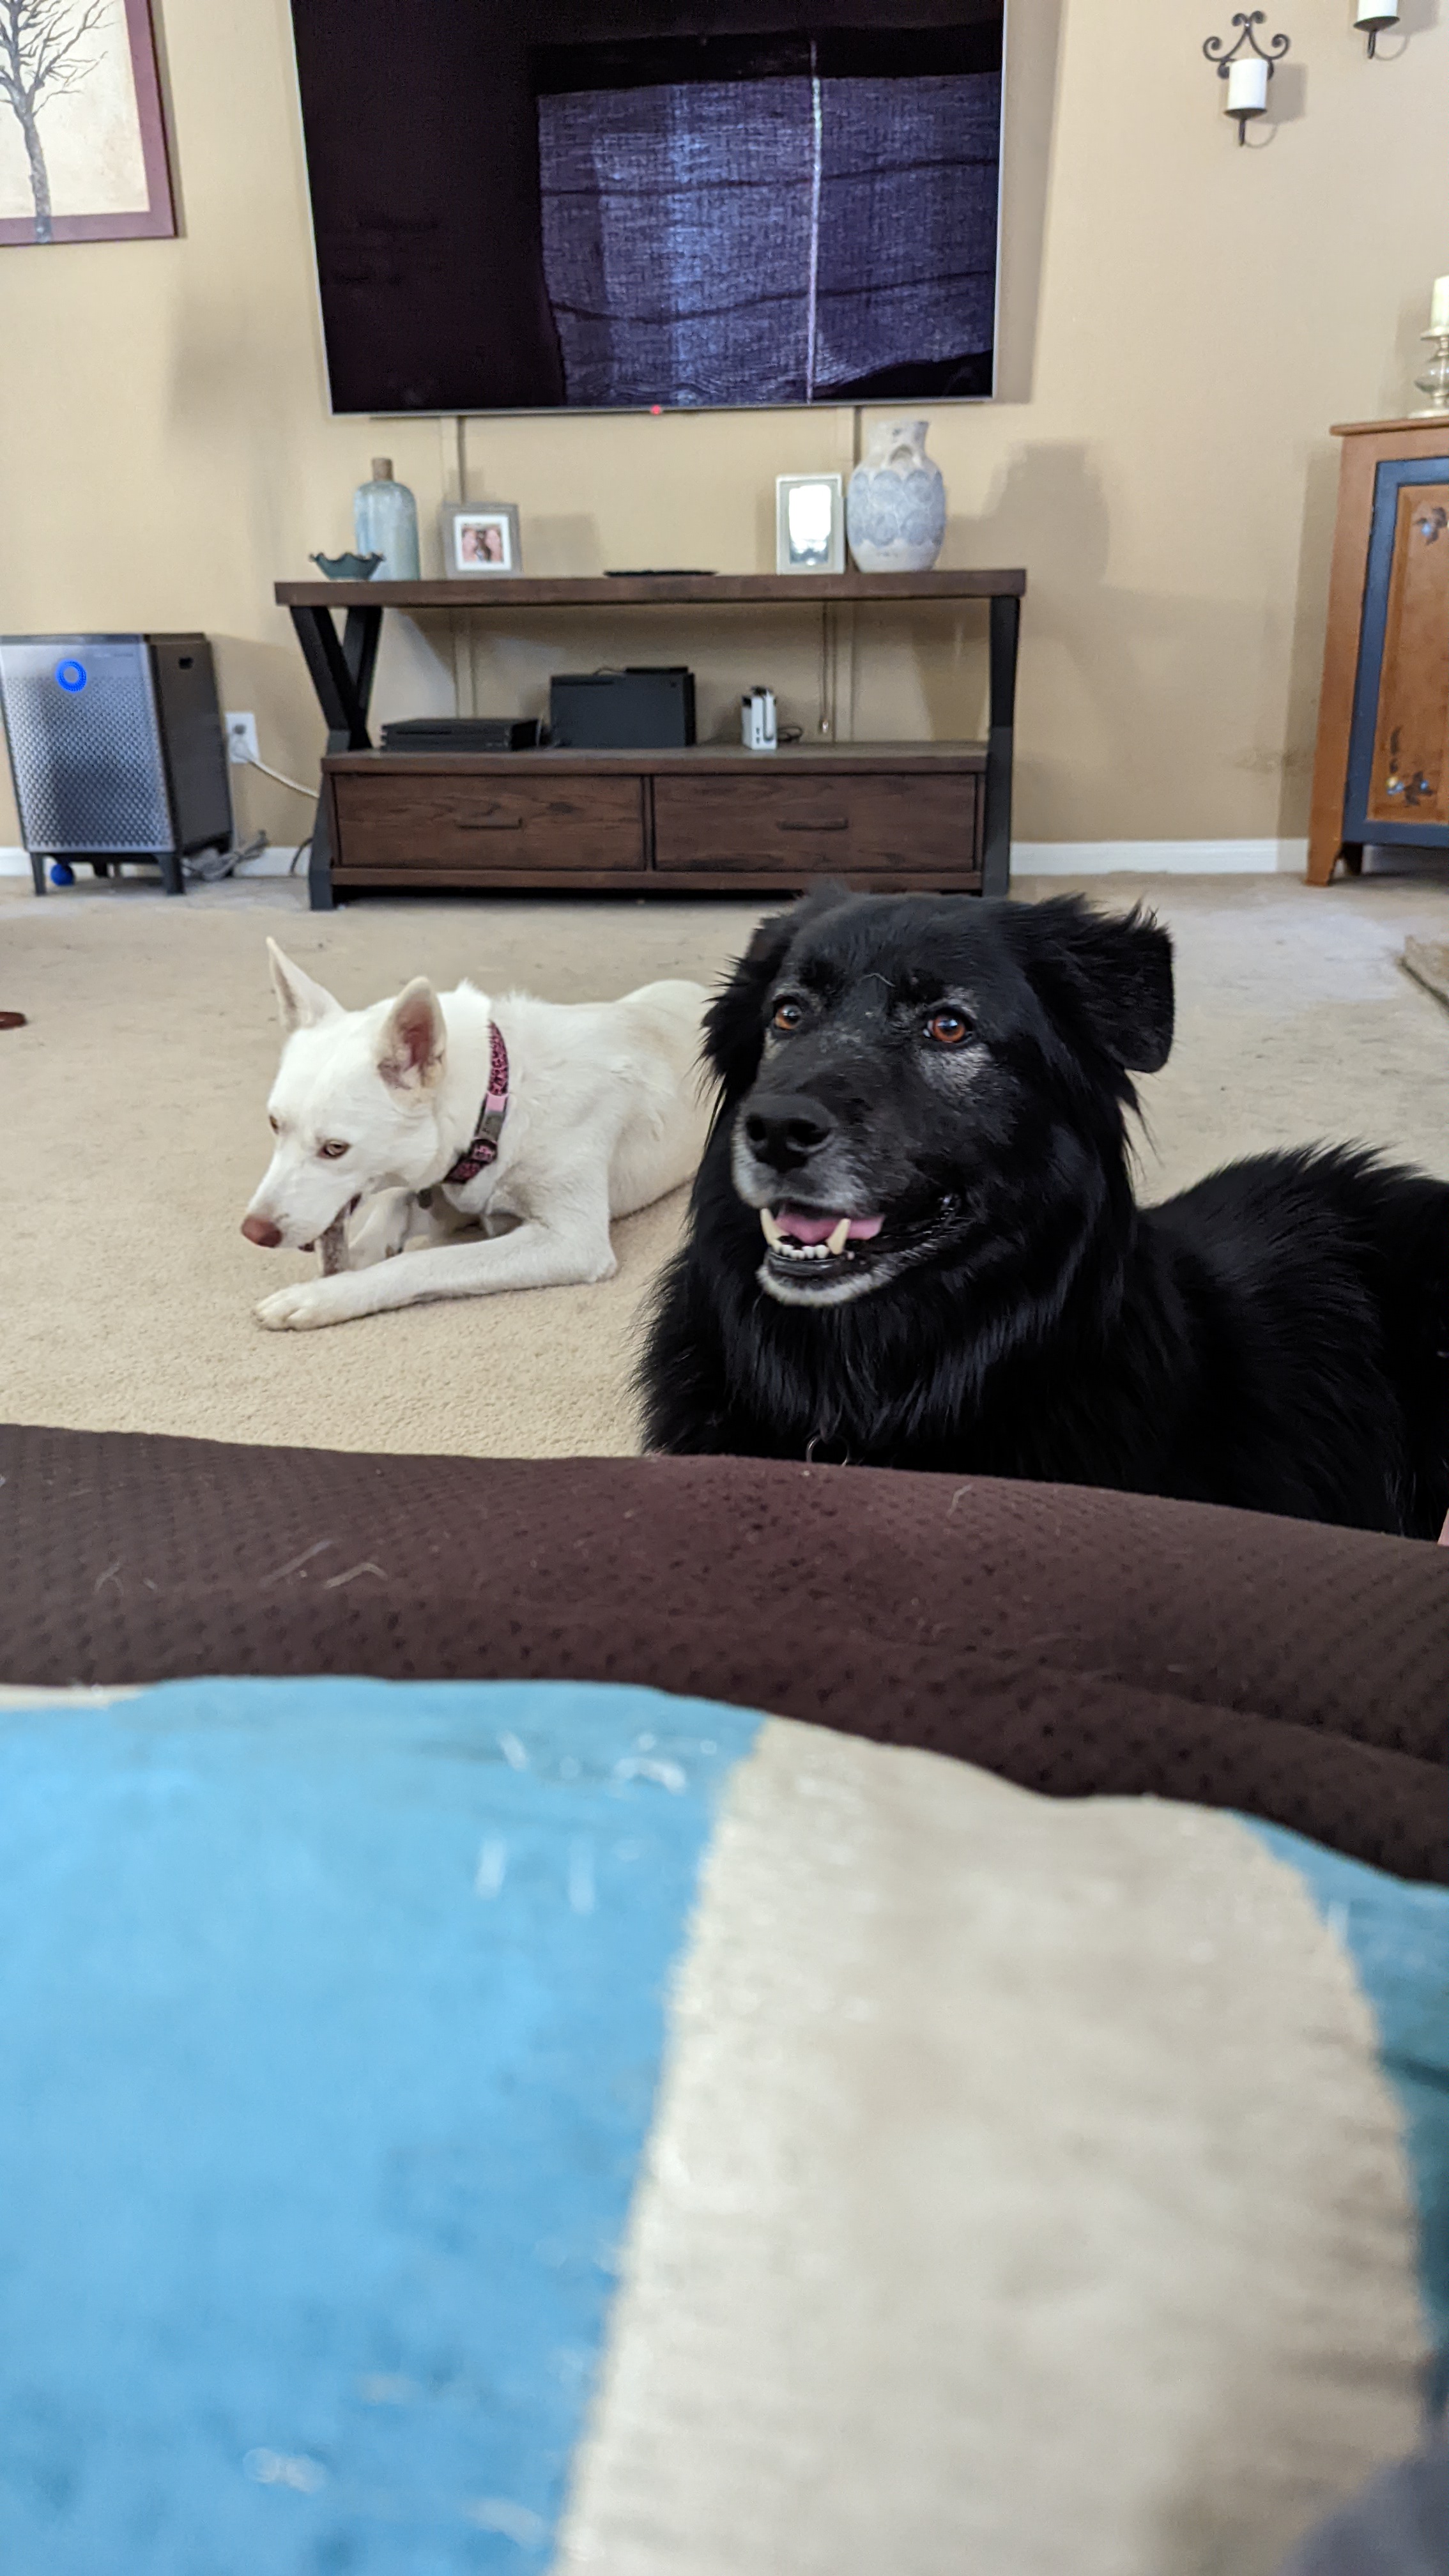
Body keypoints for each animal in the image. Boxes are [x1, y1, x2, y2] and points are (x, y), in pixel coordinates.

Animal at [242, 942, 709, 1331]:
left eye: (335, 1149)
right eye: (274, 1124)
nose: (254, 1233)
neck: (498, 1099)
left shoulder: (572, 1241)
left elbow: (420, 1263)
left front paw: (324, 1295)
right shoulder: (455, 1198)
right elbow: (391, 1208)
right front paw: (346, 1265)